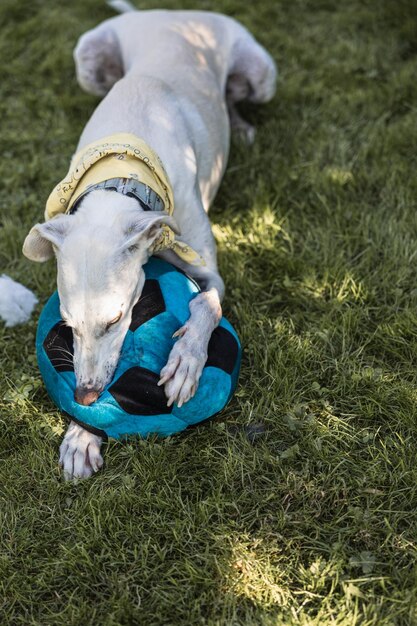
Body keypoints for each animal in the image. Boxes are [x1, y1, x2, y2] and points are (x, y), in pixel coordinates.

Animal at [22, 3, 276, 478]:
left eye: (116, 318)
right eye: (65, 323)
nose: (85, 395)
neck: (125, 172)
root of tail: (171, 13)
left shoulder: (209, 271)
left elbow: (206, 304)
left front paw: (186, 362)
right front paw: (82, 436)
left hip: (262, 73)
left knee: (237, 95)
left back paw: (239, 123)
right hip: (88, 58)